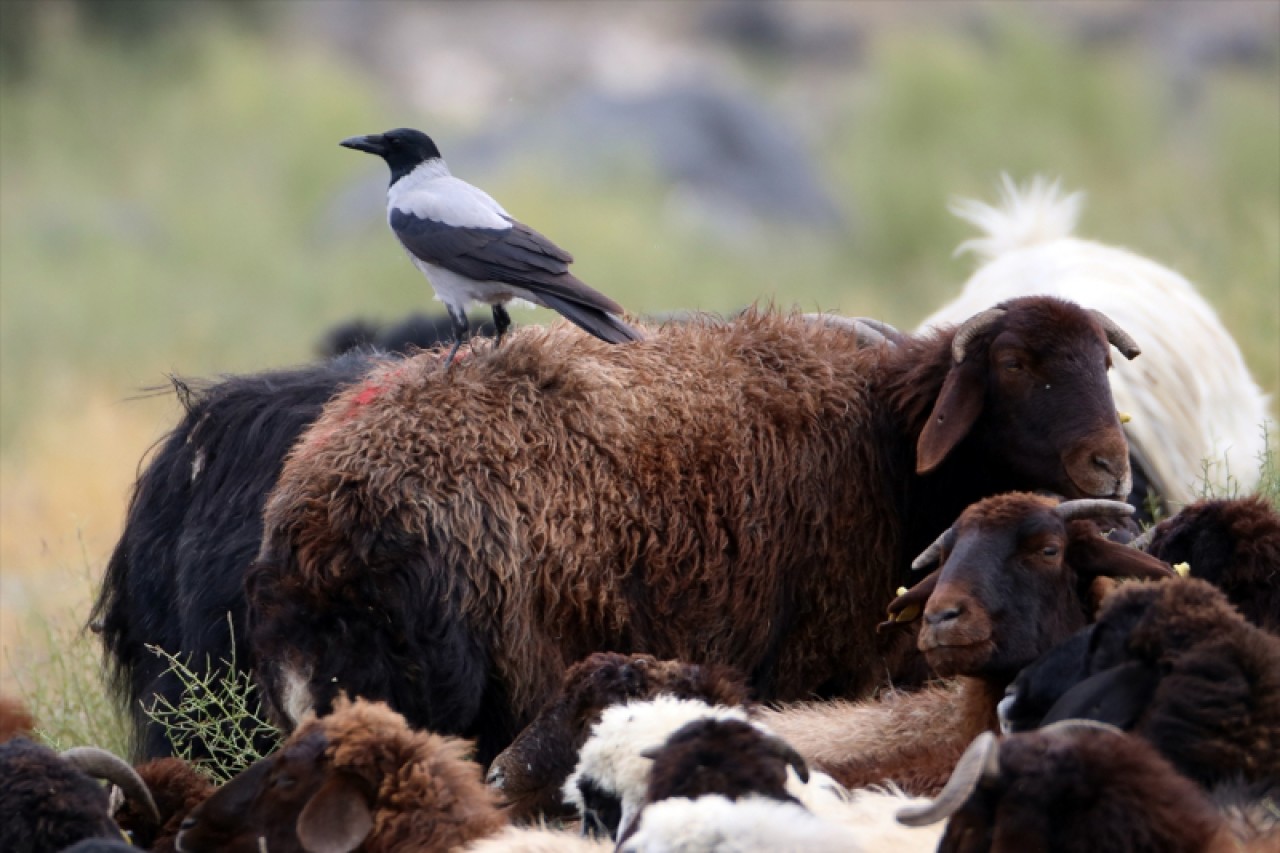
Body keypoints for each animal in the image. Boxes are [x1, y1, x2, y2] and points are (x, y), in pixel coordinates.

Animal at [247, 297, 1141, 758]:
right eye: (1015, 364)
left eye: (1103, 360)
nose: (1111, 465)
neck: (885, 445)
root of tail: (316, 527)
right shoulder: (820, 663)